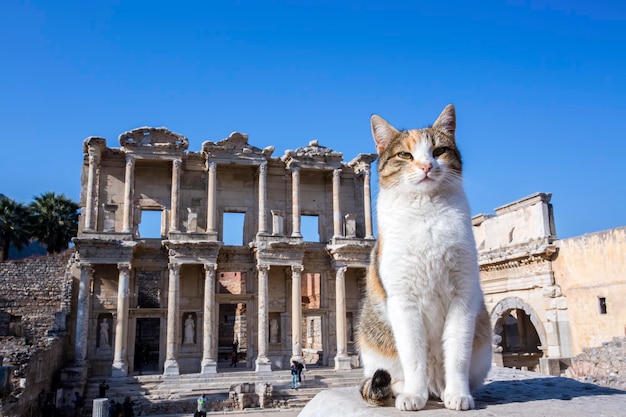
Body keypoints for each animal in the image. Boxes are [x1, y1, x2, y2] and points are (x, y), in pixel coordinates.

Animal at [356, 103, 492, 410]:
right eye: (405, 155)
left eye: (439, 151)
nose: (427, 166)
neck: (425, 212)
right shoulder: (403, 299)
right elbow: (413, 355)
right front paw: (413, 396)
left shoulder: (464, 294)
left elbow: (457, 353)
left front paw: (458, 394)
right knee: (388, 377)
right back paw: (410, 390)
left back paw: (444, 390)